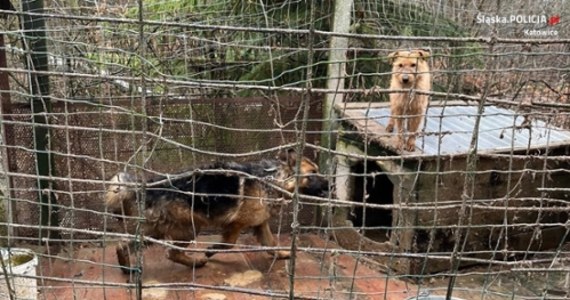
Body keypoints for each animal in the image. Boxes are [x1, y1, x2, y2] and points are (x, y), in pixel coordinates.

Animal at [103, 150, 326, 274]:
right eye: (313, 173)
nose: (331, 185)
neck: (272, 180)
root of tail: (150, 186)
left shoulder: (260, 223)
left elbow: (271, 244)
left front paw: (282, 255)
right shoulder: (236, 224)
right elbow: (228, 244)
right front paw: (211, 250)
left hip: (157, 230)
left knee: (126, 244)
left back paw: (126, 267)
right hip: (190, 228)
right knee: (171, 252)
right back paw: (196, 262)